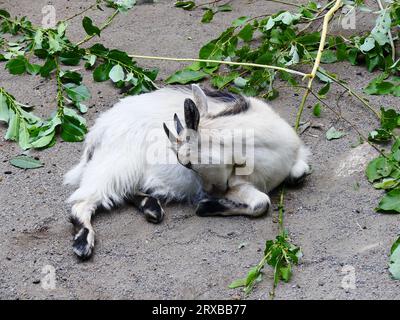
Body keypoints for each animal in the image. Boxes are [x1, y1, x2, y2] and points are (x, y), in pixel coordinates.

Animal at [65, 85, 310, 260]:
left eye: (188, 163)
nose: (212, 192)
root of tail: (98, 129)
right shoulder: (236, 184)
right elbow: (262, 203)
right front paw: (206, 206)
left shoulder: (253, 179)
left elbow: (286, 184)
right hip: (118, 162)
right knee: (83, 200)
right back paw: (83, 242)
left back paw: (151, 207)